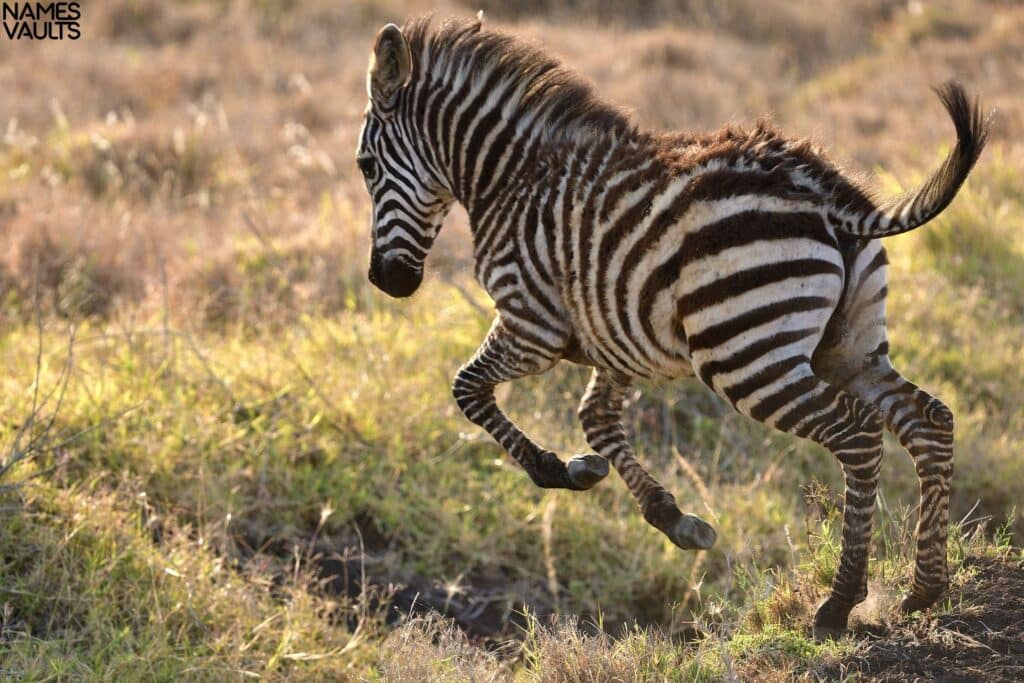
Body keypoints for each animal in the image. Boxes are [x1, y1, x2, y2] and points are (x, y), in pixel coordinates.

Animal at [356, 14, 987, 643]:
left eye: (365, 167)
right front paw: (665, 514)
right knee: (930, 421)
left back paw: (839, 604)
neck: (509, 178)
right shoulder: (612, 335)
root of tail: (826, 194)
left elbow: (467, 389)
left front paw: (553, 469)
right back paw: (925, 586)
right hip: (850, 346)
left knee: (857, 435)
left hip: (746, 354)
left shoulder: (531, 323)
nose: (385, 282)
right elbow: (597, 419)